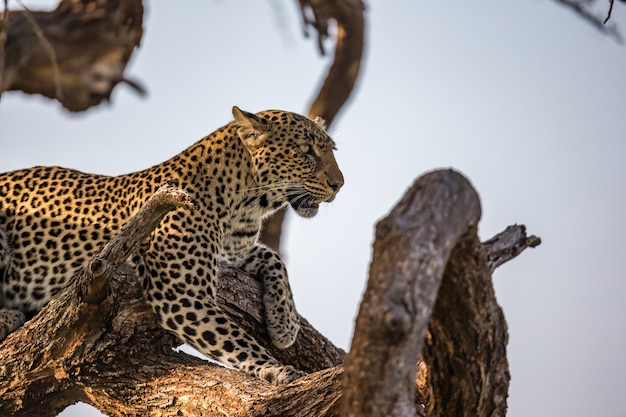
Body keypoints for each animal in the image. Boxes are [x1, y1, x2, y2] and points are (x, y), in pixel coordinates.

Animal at [0, 107, 342, 384]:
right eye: (305, 151)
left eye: (331, 150)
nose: (339, 184)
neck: (245, 206)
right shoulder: (183, 295)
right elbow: (235, 340)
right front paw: (276, 368)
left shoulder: (232, 253)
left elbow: (272, 257)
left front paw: (284, 323)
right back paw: (9, 316)